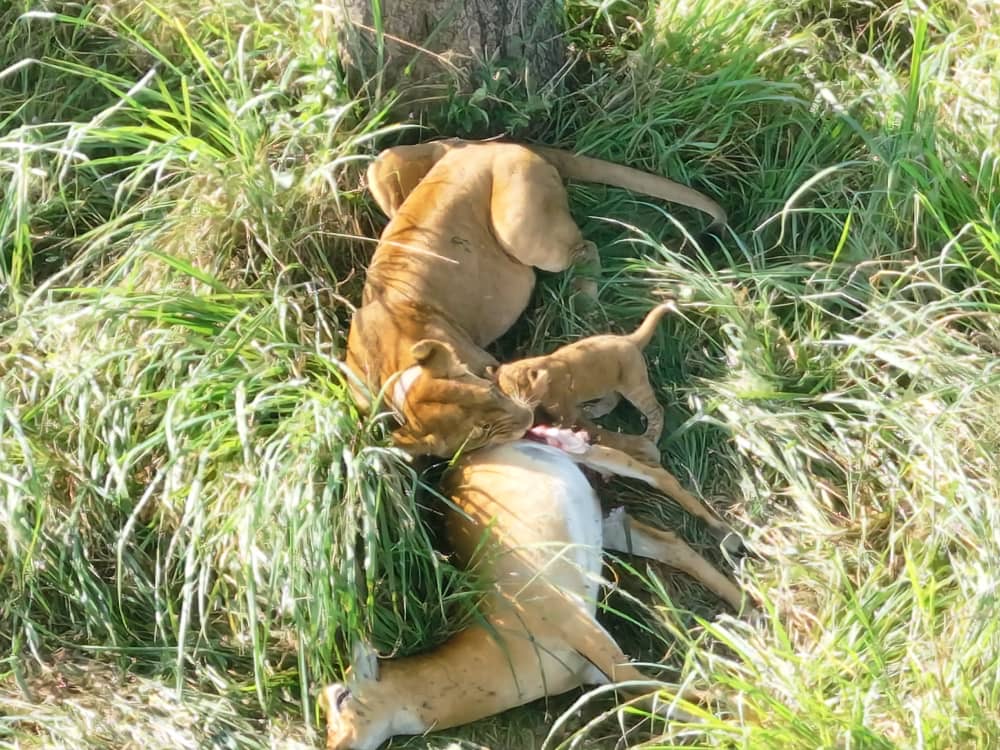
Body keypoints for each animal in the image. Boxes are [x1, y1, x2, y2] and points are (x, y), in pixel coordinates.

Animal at [320, 437, 746, 750]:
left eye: (341, 696)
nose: (334, 745)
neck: (504, 641)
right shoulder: (593, 671)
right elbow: (656, 696)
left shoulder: (582, 627)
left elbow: (660, 689)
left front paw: (745, 712)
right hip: (602, 523)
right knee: (666, 540)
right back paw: (745, 601)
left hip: (573, 456)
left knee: (647, 470)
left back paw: (730, 534)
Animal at [494, 302, 675, 461]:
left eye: (517, 392)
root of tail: (629, 339)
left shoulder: (566, 412)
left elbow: (562, 425)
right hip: (610, 383)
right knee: (612, 400)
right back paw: (589, 411)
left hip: (635, 386)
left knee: (657, 410)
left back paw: (651, 437)